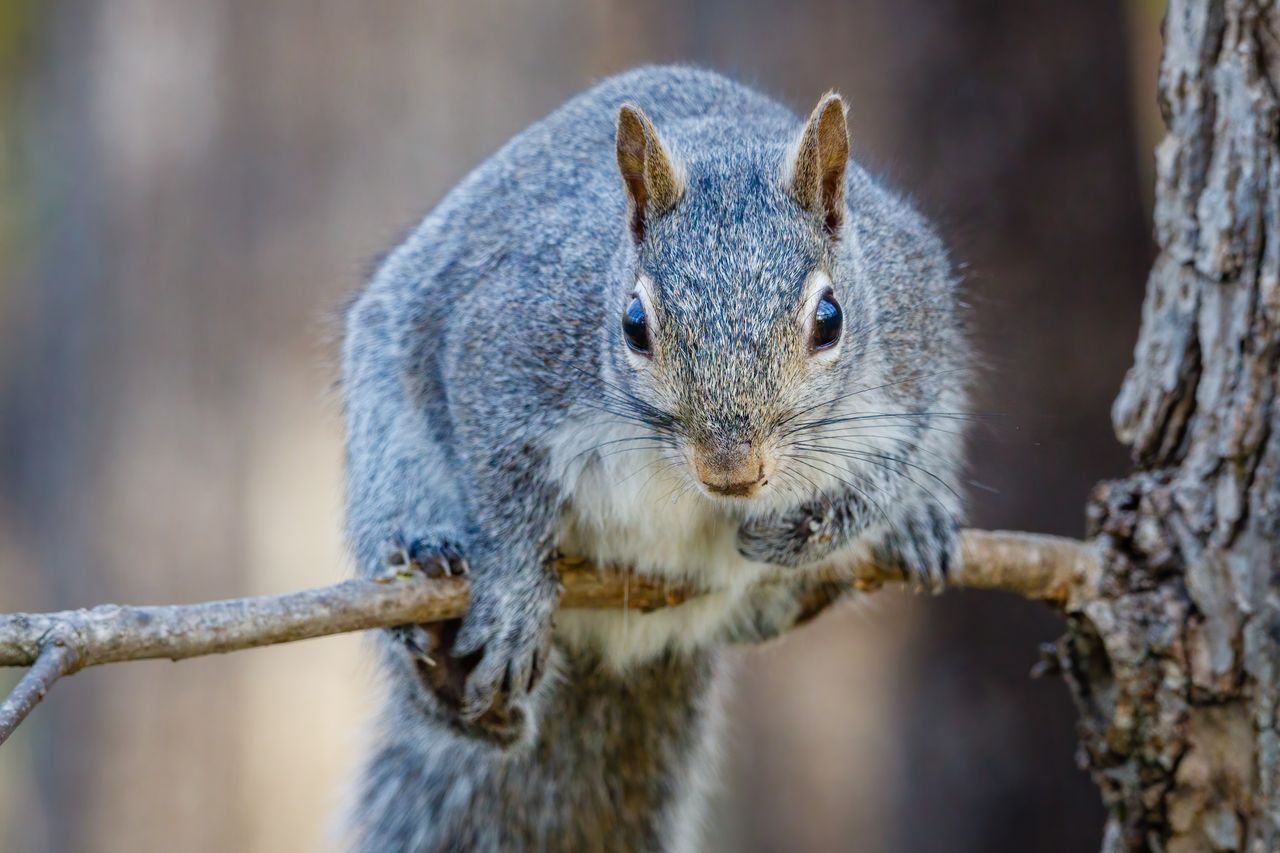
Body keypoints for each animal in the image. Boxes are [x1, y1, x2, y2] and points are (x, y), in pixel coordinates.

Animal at [340, 65, 969, 851]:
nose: (731, 470)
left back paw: (915, 530)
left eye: (830, 320)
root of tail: (627, 642)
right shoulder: (507, 343)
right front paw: (516, 593)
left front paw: (806, 531)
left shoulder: (918, 357)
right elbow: (502, 482)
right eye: (633, 324)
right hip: (388, 439)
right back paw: (437, 629)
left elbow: (886, 475)